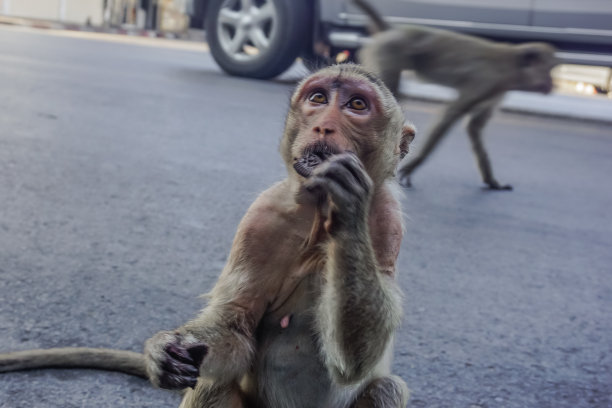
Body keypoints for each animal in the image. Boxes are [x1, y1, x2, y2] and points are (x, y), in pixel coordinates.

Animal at [0, 63, 416, 408]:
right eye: (318, 99)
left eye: (356, 105)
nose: (323, 126)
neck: (316, 213)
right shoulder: (260, 220)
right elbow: (234, 326)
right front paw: (164, 349)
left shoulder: (386, 217)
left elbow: (354, 363)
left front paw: (347, 210)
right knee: (211, 383)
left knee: (386, 389)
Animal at [354, 0, 560, 190]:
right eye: (548, 70)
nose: (553, 84)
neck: (511, 69)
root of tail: (393, 31)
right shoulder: (484, 81)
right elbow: (450, 115)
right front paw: (413, 166)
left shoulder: (496, 93)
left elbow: (474, 127)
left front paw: (492, 181)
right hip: (388, 52)